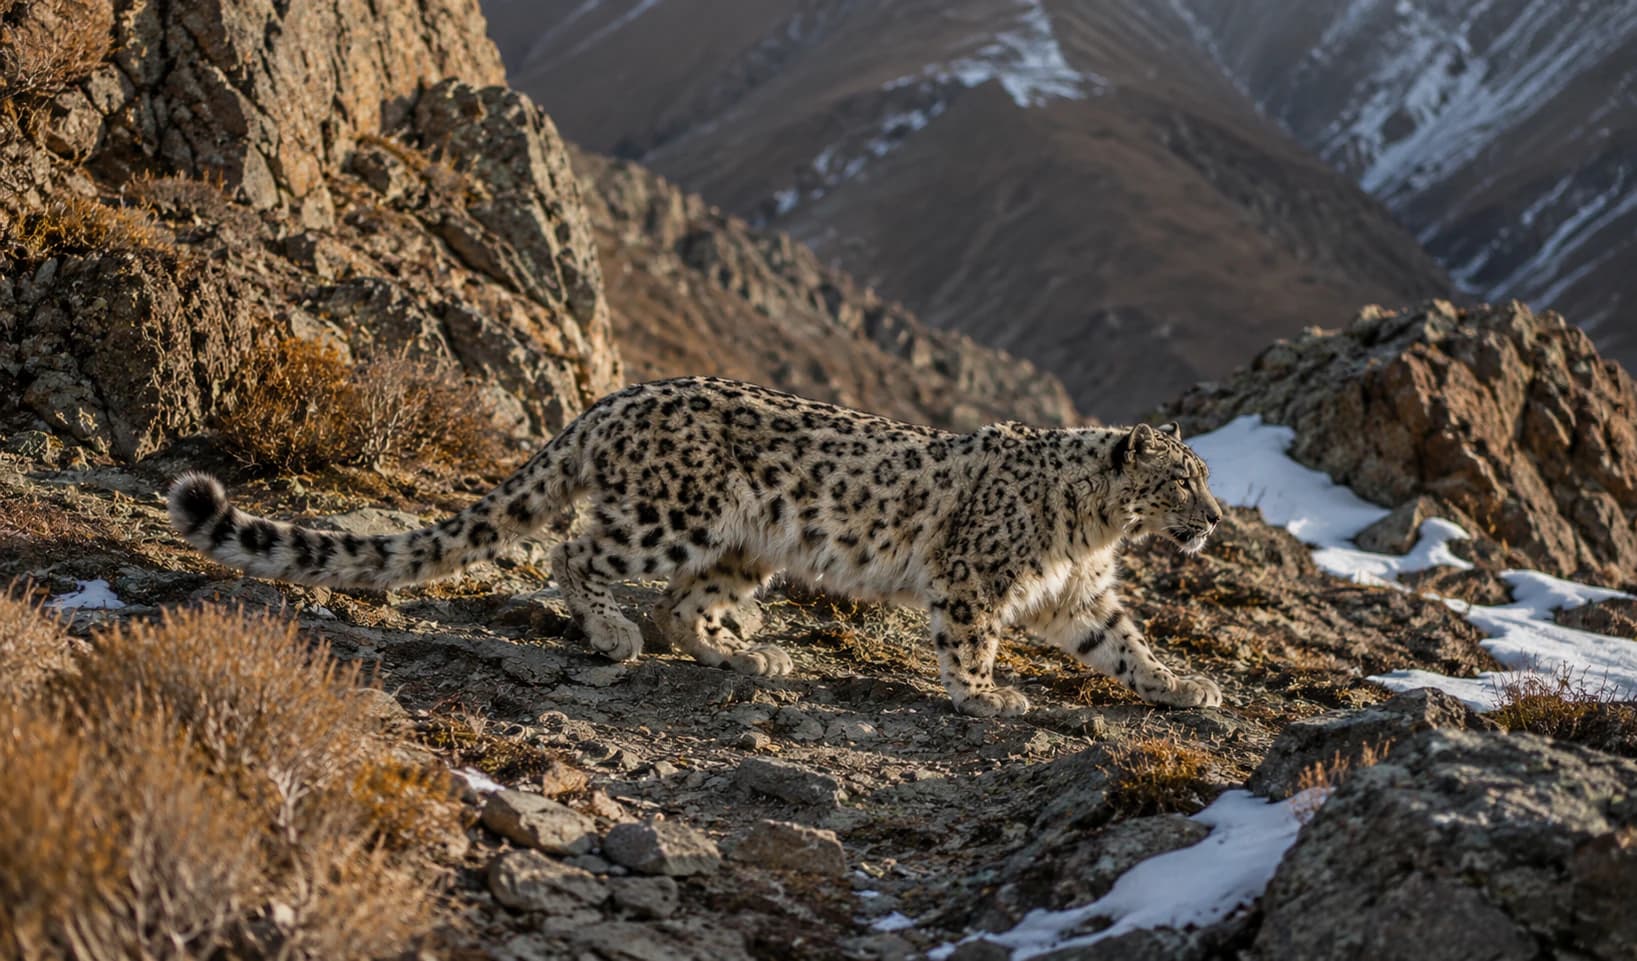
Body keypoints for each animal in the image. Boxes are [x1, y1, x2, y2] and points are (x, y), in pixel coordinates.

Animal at [169, 376, 1225, 717]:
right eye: (1182, 480)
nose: (1214, 517)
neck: (1093, 531)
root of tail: (610, 400)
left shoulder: (1080, 595)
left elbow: (1123, 644)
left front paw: (1185, 686)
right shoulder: (975, 577)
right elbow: (969, 640)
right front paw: (989, 694)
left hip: (740, 546)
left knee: (684, 604)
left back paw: (739, 653)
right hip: (667, 517)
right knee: (577, 555)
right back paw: (612, 637)